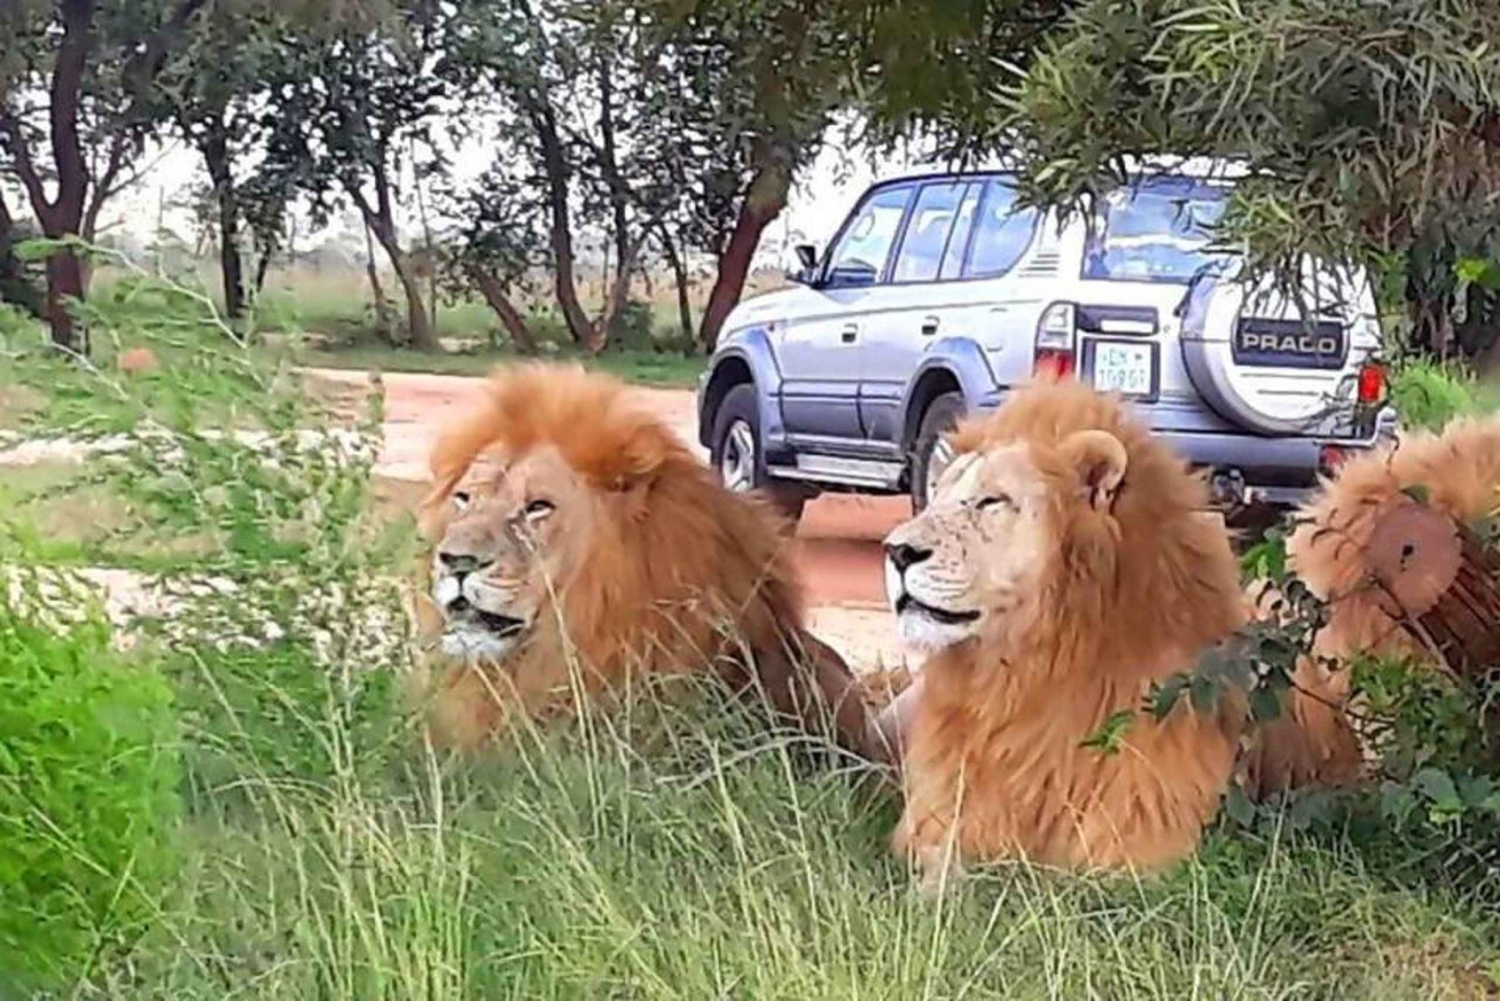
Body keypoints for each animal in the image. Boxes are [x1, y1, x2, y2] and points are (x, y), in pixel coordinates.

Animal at [878, 379, 1248, 880]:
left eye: (992, 502)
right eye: (935, 498)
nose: (895, 551)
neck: (1023, 681)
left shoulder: (1143, 843)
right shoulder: (940, 821)